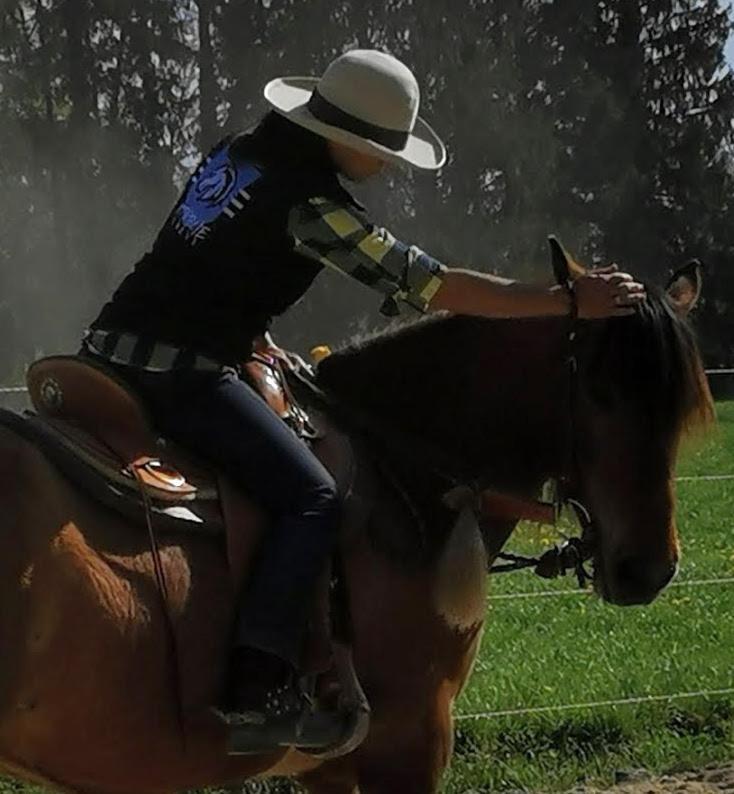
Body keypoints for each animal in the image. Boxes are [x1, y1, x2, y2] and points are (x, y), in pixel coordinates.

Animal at [0, 255, 712, 792]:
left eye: (681, 404)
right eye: (597, 389)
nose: (648, 567)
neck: (396, 465)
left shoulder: (329, 767)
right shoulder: (414, 739)